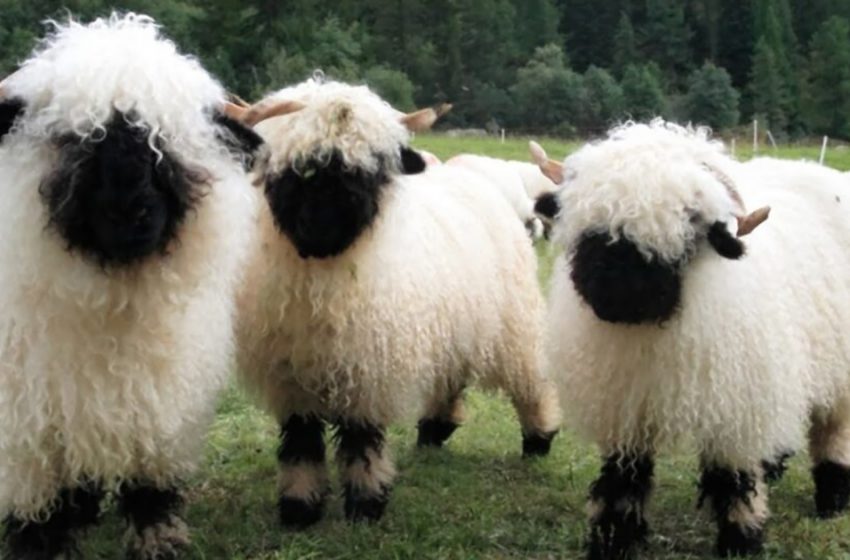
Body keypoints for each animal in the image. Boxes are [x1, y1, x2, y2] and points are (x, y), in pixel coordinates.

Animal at [0, 14, 264, 560]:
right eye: (72, 139)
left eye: (167, 140)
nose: (127, 212)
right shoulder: (24, 412)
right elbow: (36, 487)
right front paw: (37, 542)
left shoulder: (159, 395)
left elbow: (150, 472)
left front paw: (157, 534)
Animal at [235, 77, 560, 524]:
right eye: (300, 167)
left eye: (371, 169)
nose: (324, 227)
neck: (323, 278)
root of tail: (472, 175)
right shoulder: (290, 373)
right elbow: (301, 443)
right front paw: (300, 507)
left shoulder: (369, 368)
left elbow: (362, 439)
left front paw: (366, 503)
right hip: (451, 324)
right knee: (451, 376)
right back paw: (434, 430)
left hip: (513, 321)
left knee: (530, 380)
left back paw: (539, 437)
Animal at [532, 120, 848, 556]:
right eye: (594, 227)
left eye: (688, 225)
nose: (616, 295)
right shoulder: (627, 406)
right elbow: (621, 480)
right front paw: (613, 539)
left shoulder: (736, 407)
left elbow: (734, 481)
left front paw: (741, 541)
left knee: (834, 433)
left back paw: (833, 498)